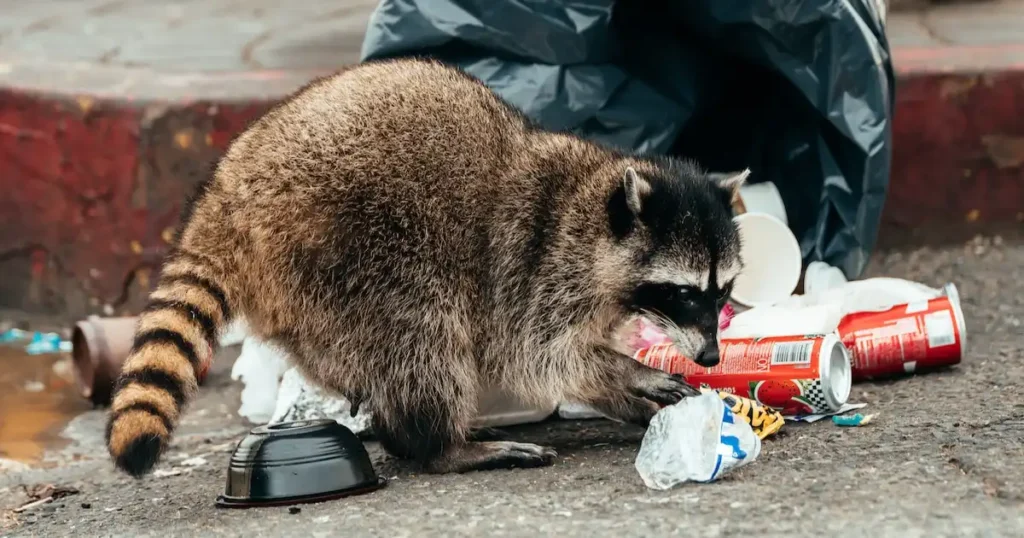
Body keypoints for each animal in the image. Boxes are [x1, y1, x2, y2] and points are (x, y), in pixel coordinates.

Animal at [103, 57, 745, 477]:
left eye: (723, 292)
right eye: (685, 293)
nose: (713, 356)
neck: (592, 204)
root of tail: (228, 195)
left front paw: (628, 389)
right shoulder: (535, 268)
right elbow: (540, 355)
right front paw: (627, 373)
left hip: (306, 294)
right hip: (350, 249)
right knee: (420, 335)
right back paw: (439, 446)